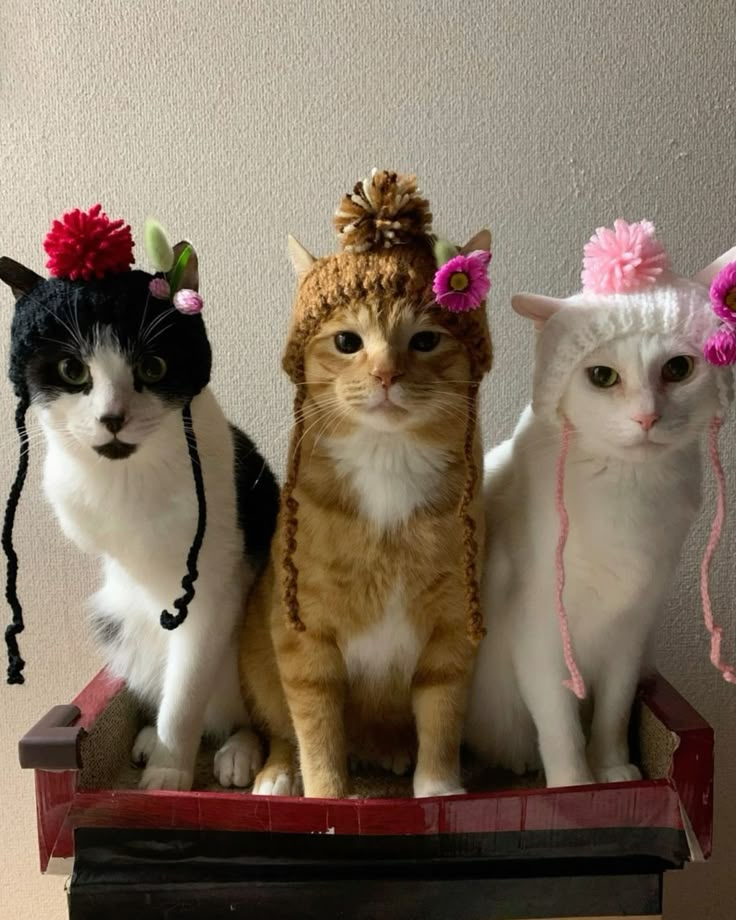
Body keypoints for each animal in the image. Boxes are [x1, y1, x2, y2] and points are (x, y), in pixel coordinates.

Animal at [242, 172, 492, 796]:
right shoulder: (304, 642)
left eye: (425, 340)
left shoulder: (452, 634)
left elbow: (441, 720)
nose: (385, 374)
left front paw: (438, 789)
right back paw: (276, 772)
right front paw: (326, 797)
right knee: (280, 729)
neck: (388, 465)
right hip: (259, 659)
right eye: (348, 342)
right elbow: (317, 736)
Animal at [462, 228, 732, 784]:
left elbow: (611, 713)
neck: (628, 494)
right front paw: (573, 786)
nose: (647, 417)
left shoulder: (629, 635)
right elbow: (562, 732)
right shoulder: (541, 638)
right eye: (602, 377)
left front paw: (612, 769)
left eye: (678, 369)